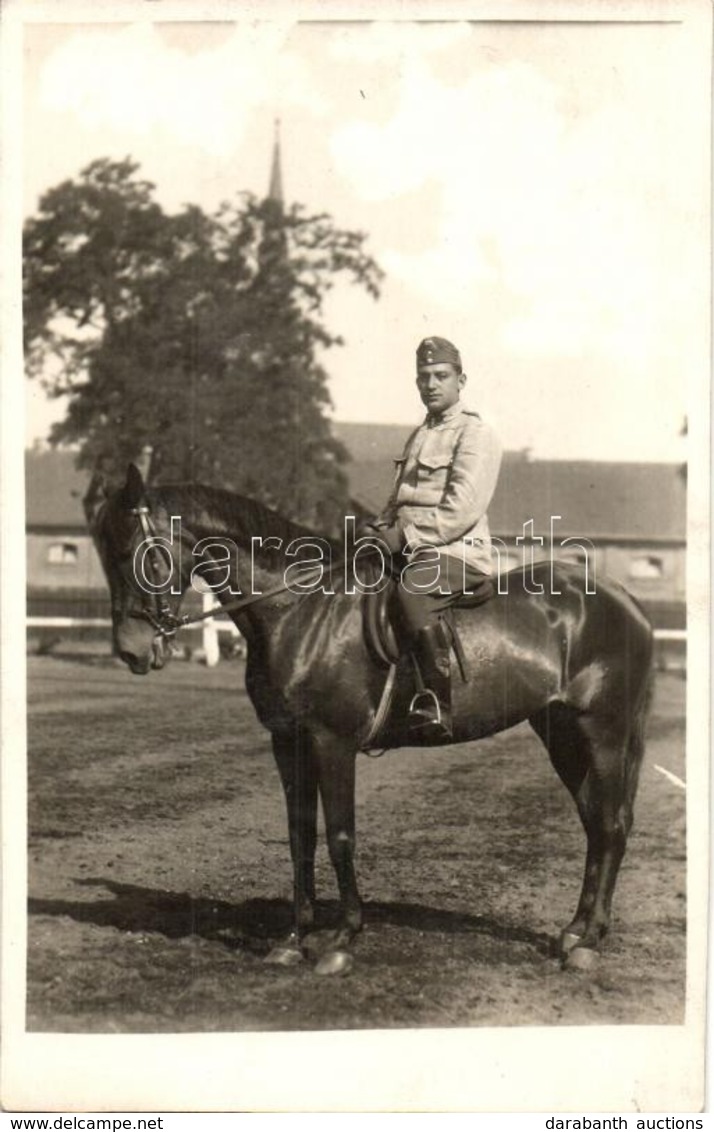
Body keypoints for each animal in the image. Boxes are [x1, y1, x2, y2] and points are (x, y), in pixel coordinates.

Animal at [92, 464, 656, 978]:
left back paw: (590, 942)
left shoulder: (332, 741)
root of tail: (625, 600)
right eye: (104, 555)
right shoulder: (287, 742)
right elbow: (300, 835)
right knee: (594, 821)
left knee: (611, 823)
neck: (299, 609)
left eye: (137, 554)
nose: (132, 652)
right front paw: (293, 938)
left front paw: (342, 939)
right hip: (561, 733)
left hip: (602, 732)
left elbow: (341, 835)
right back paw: (574, 930)